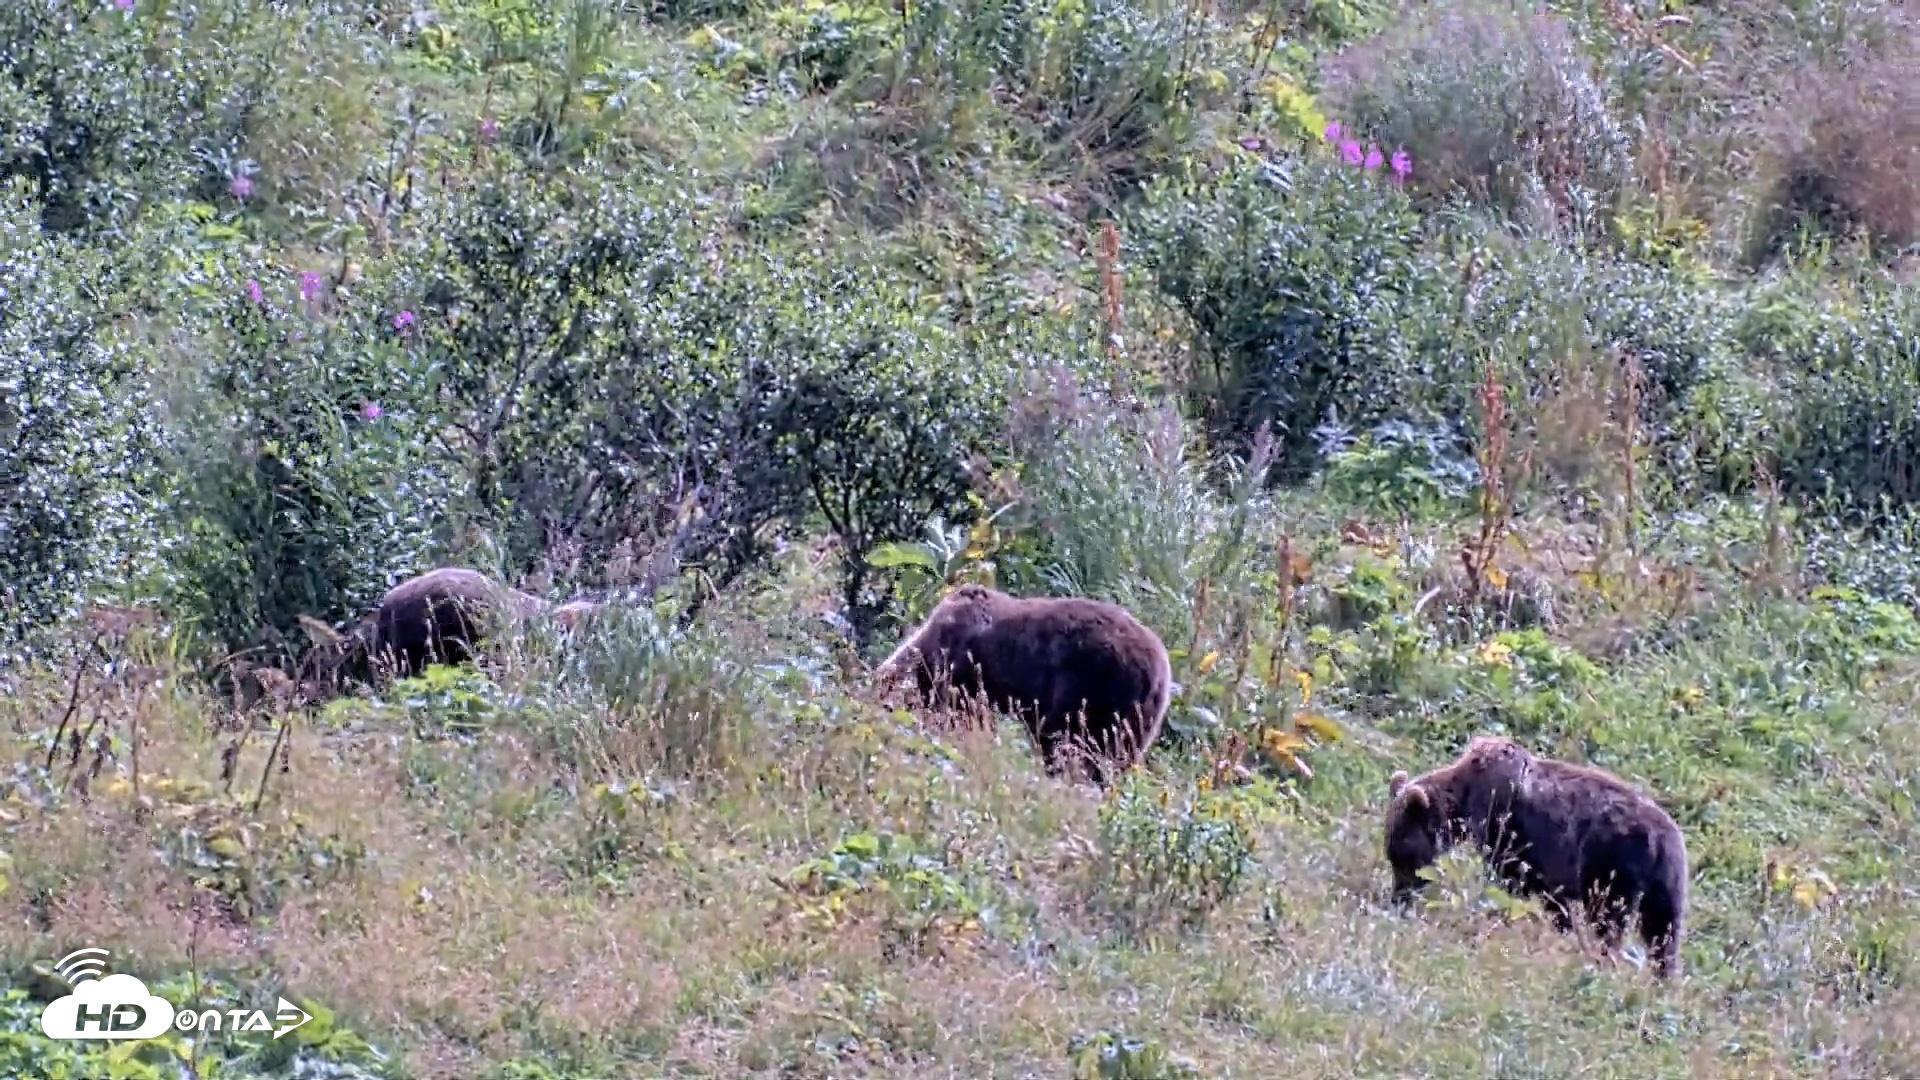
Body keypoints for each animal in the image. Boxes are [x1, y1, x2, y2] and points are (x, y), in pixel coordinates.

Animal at [871, 583, 1173, 786]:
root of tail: (1158, 669)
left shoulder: (962, 673)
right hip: (1137, 717)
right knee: (1116, 757)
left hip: (1090, 688)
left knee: (1063, 740)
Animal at [1382, 734, 1689, 980]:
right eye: (1392, 854)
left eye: (1402, 856)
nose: (1398, 898)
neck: (1467, 801)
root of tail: (1662, 836)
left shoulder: (1513, 834)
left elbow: (1519, 885)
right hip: (1667, 882)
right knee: (1663, 932)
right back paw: (1662, 976)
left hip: (1613, 866)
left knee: (1610, 919)